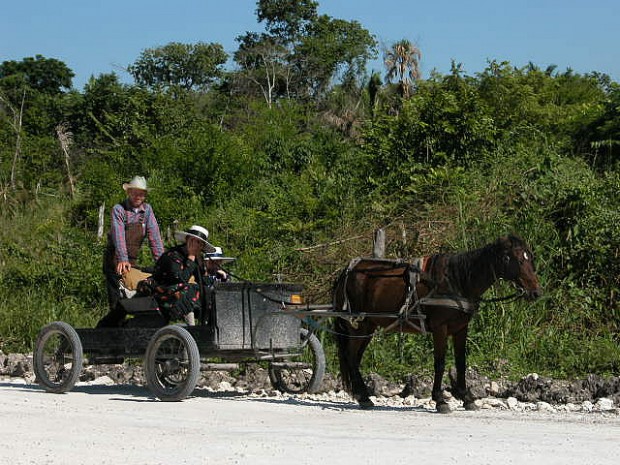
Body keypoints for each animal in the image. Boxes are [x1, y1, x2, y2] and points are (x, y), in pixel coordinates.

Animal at [334, 234, 544, 412]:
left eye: (529, 257)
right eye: (510, 258)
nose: (535, 292)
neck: (456, 281)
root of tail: (347, 271)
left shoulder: (461, 328)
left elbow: (461, 363)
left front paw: (466, 398)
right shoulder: (439, 328)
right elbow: (440, 363)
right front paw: (440, 400)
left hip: (368, 325)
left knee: (355, 358)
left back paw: (362, 395)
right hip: (358, 324)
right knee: (351, 356)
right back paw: (363, 397)